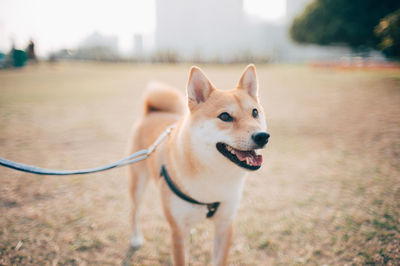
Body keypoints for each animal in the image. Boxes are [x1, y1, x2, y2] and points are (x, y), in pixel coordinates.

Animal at [130, 65, 270, 266]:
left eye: (255, 113)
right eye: (225, 116)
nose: (262, 136)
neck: (213, 173)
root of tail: (153, 111)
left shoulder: (225, 225)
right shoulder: (178, 232)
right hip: (137, 182)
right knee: (134, 210)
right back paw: (135, 238)